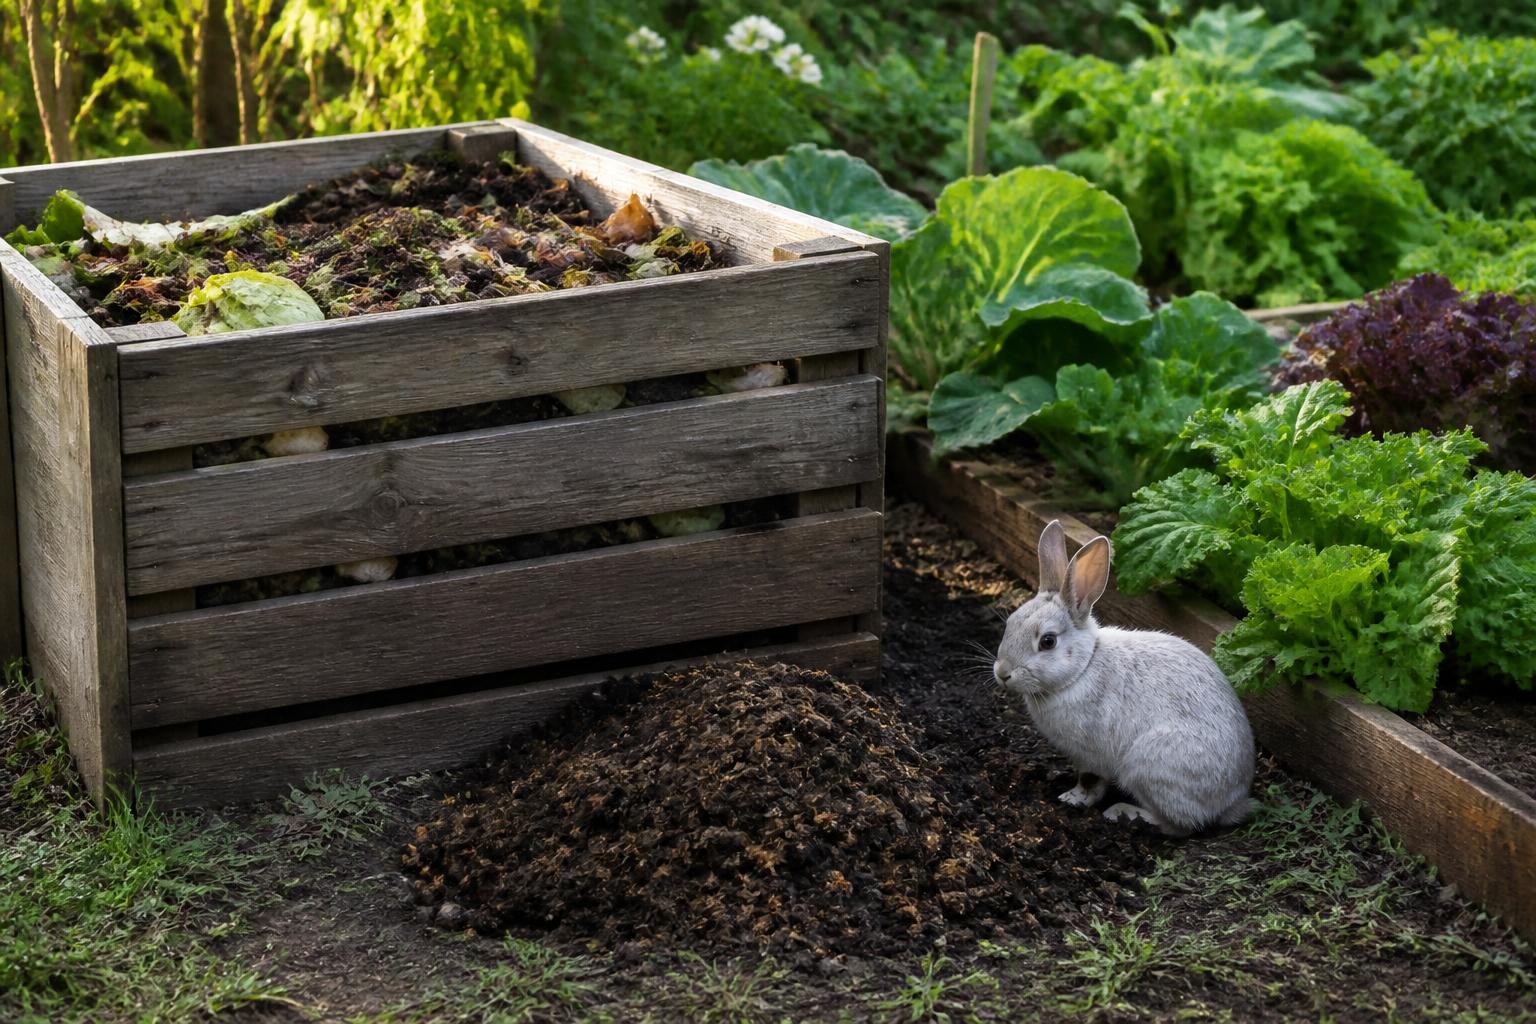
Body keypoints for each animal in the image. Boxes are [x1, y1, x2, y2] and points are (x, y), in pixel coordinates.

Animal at [993, 520, 1254, 837]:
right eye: (1010, 624)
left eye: (1047, 641)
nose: (1002, 673)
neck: (1083, 668)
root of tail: (1231, 801)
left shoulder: (1090, 754)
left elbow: (1090, 780)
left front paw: (1072, 799)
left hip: (1146, 767)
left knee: (1181, 825)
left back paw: (1124, 814)